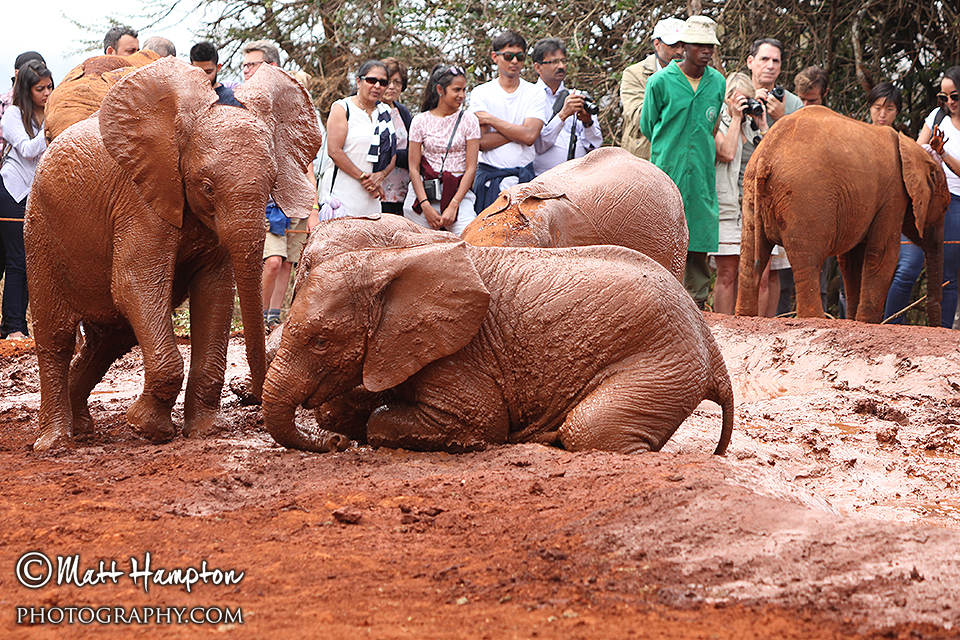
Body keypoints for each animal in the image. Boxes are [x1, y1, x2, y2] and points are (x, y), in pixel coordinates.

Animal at [25, 57, 322, 450]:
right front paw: (148, 428)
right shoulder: (139, 201)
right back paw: (56, 441)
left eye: (273, 182)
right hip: (40, 232)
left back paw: (83, 427)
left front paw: (207, 430)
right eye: (206, 187)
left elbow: (216, 291)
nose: (254, 398)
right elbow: (135, 285)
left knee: (110, 338)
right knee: (56, 338)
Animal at [262, 215, 733, 455]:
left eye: (321, 341)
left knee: (591, 432)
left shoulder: (459, 353)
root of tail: (713, 349)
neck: (387, 260)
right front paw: (342, 425)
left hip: (663, 365)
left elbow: (479, 421)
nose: (335, 446)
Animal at [737, 106, 950, 323]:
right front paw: (866, 322)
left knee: (751, 257)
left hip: (751, 193)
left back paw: (745, 316)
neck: (913, 148)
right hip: (805, 197)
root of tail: (767, 153)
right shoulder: (893, 195)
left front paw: (855, 320)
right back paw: (815, 319)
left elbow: (851, 262)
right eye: (945, 207)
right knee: (808, 262)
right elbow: (882, 254)